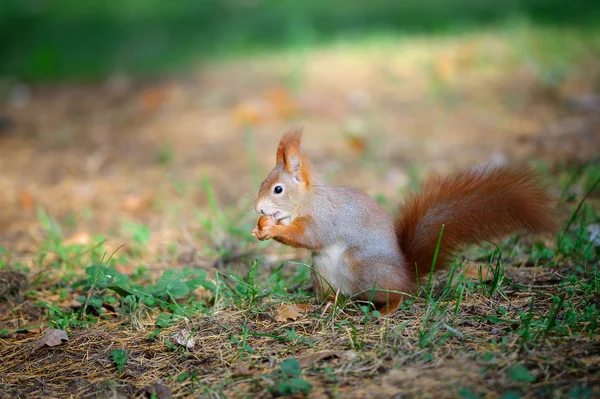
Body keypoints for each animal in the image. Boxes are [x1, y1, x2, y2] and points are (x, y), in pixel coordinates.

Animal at [251, 131, 560, 316]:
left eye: (278, 189)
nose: (258, 209)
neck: (306, 201)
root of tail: (407, 273)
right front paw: (258, 229)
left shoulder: (325, 217)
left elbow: (309, 236)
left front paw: (272, 229)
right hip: (322, 272)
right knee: (336, 297)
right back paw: (318, 305)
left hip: (361, 266)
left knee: (397, 293)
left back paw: (388, 308)